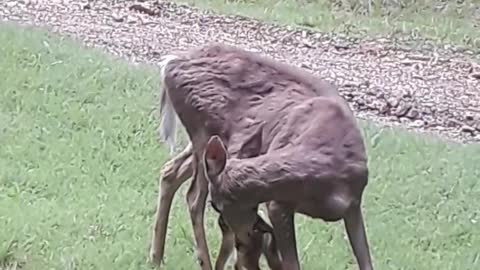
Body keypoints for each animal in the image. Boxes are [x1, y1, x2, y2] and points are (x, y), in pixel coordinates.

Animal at [148, 43, 374, 268]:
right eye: (216, 207)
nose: (246, 238)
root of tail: (170, 62)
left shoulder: (354, 205)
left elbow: (366, 261)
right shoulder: (277, 204)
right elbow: (290, 263)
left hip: (208, 143)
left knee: (170, 171)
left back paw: (156, 257)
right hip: (201, 132)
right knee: (193, 197)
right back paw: (204, 262)